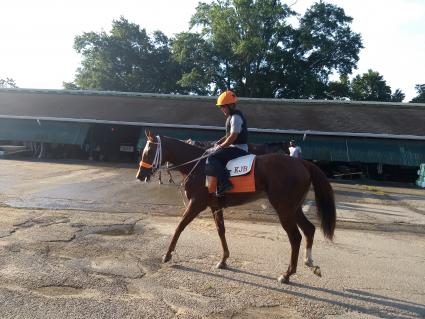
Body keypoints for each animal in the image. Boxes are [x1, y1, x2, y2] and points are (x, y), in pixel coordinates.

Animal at [137, 131, 334, 284]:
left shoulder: (196, 204)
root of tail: (302, 163)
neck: (199, 166)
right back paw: (309, 262)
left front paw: (167, 254)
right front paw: (223, 260)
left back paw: (287, 274)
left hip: (284, 209)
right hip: (294, 208)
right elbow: (221, 231)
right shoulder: (215, 206)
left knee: (295, 237)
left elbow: (179, 226)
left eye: (148, 151)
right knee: (309, 229)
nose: (140, 175)